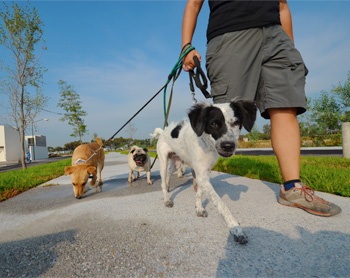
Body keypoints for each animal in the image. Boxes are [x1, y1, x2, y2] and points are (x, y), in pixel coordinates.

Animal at [152, 99, 256, 243]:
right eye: (213, 123)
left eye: (236, 123)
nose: (228, 146)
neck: (207, 145)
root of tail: (163, 131)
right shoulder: (202, 175)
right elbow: (222, 205)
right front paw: (236, 229)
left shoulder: (204, 173)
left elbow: (199, 193)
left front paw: (199, 208)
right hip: (163, 160)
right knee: (162, 180)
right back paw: (167, 199)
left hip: (176, 162)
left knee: (168, 174)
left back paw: (168, 187)